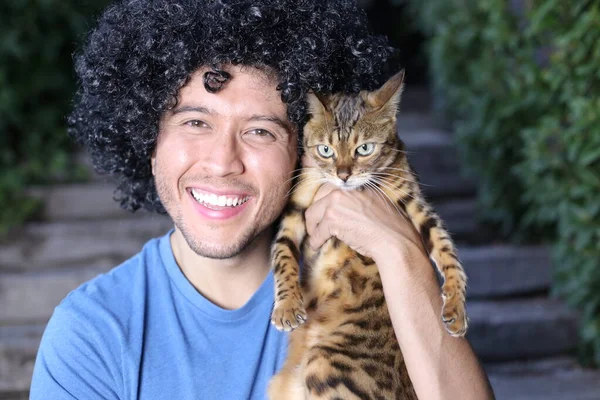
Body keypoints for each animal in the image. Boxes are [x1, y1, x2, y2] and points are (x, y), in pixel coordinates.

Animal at [268, 70, 468, 398]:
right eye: (326, 150)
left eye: (364, 149)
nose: (343, 175)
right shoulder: (295, 212)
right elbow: (282, 257)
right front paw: (287, 306)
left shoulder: (416, 204)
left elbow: (447, 252)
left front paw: (456, 307)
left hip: (325, 363)